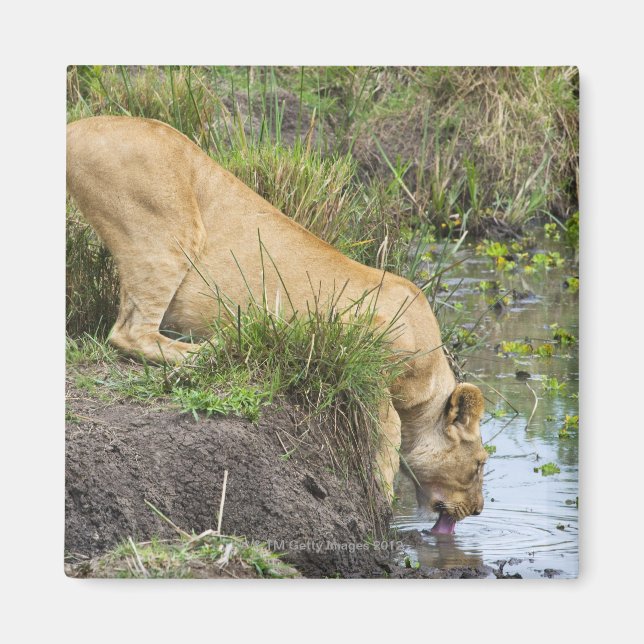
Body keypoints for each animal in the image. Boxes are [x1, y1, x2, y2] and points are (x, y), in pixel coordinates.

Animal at [66, 116, 488, 534]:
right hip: (168, 232)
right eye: (480, 463)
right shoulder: (360, 344)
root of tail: (81, 124)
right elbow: (389, 430)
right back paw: (215, 351)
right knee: (130, 333)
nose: (479, 510)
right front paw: (381, 498)